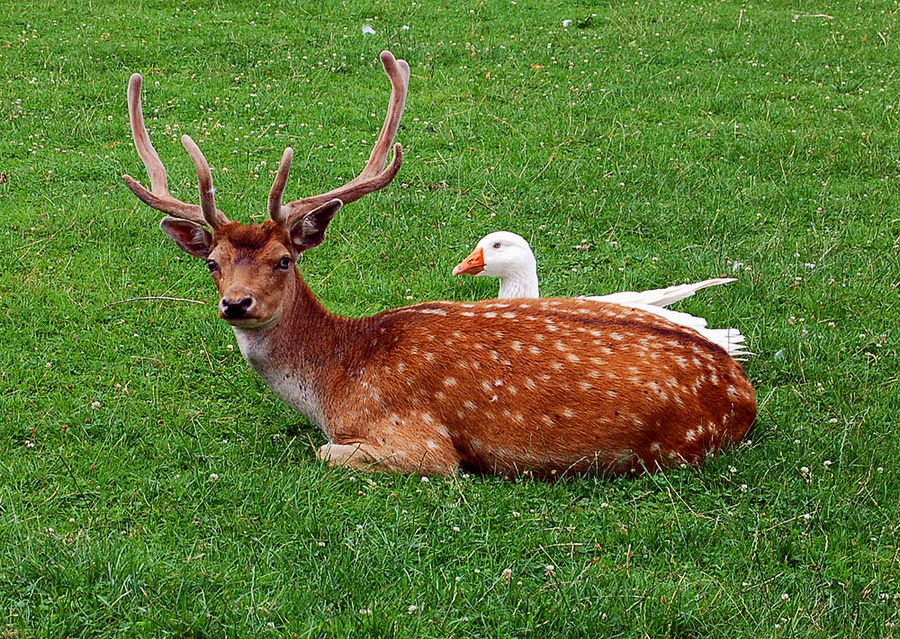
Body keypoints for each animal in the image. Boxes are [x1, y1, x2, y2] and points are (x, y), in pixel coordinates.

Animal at [123, 51, 756, 480]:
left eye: (283, 260)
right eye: (212, 262)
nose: (237, 303)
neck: (334, 382)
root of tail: (742, 391)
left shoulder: (417, 440)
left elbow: (329, 451)